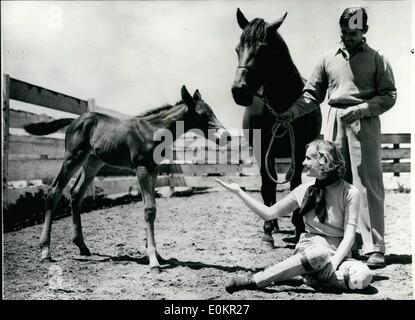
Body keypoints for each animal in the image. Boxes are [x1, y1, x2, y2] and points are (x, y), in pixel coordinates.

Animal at [25, 86, 231, 274]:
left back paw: (82, 246)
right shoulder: (141, 168)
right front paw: (153, 261)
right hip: (73, 158)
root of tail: (75, 120)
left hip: (93, 162)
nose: (227, 136)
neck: (154, 130)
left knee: (76, 193)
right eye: (202, 114)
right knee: (54, 191)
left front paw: (156, 254)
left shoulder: (154, 170)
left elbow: (151, 206)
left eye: (212, 111)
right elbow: (149, 209)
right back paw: (45, 251)